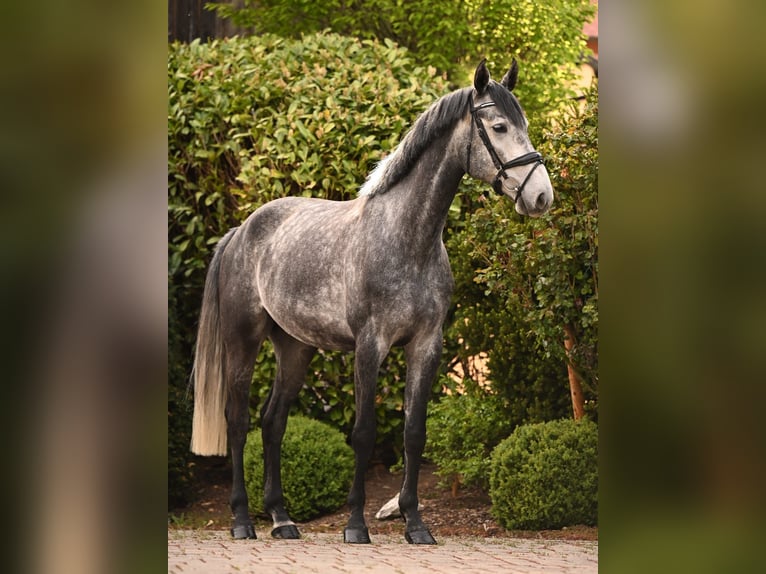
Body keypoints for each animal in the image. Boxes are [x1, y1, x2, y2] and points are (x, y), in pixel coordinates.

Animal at [190, 59, 553, 545]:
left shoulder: (426, 346)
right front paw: (355, 525)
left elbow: (414, 433)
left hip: (295, 347)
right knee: (237, 420)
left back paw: (282, 520)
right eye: (498, 126)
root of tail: (240, 231)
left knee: (273, 422)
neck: (407, 238)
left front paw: (415, 525)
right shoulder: (370, 345)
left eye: (524, 126)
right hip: (243, 342)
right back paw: (243, 521)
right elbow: (363, 433)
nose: (541, 197)